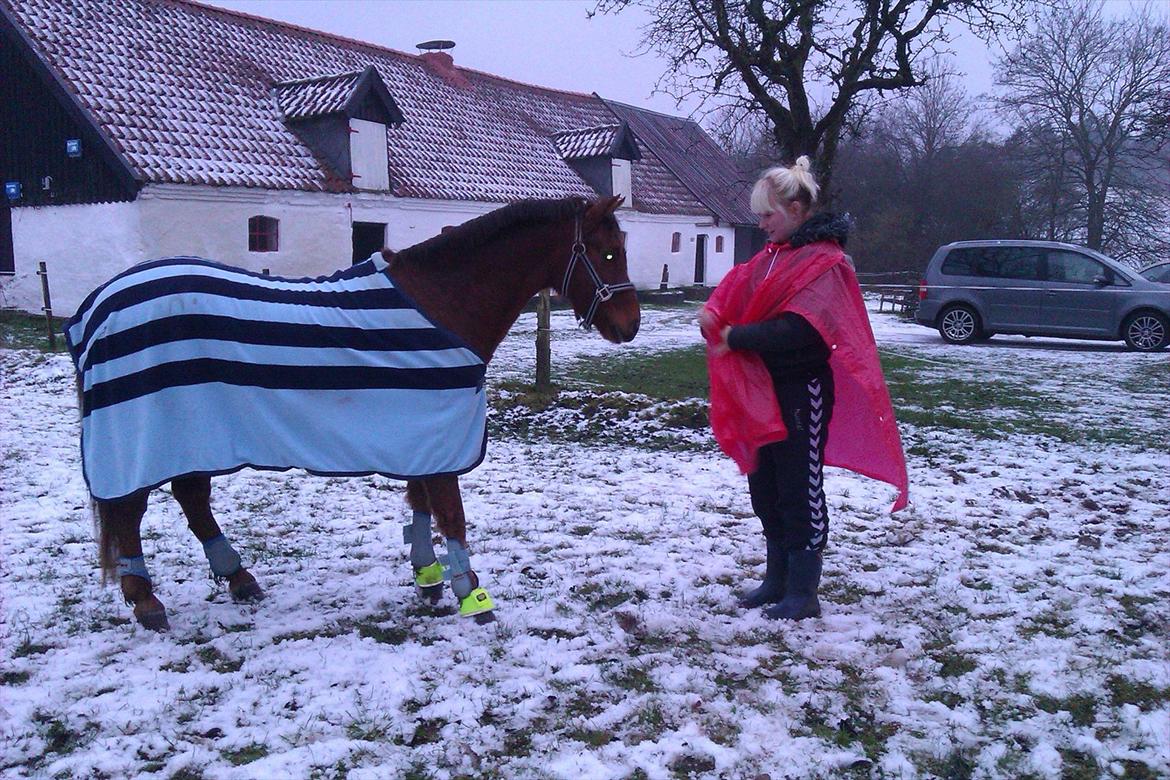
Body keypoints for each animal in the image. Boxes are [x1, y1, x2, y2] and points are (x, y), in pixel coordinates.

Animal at [65, 195, 641, 626]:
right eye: (608, 252)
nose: (630, 325)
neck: (444, 300)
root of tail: (94, 308)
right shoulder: (441, 432)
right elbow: (450, 513)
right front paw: (471, 594)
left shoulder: (424, 432)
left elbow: (421, 505)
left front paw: (427, 578)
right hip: (145, 433)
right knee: (131, 509)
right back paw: (146, 599)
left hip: (195, 432)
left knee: (190, 499)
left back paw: (238, 579)